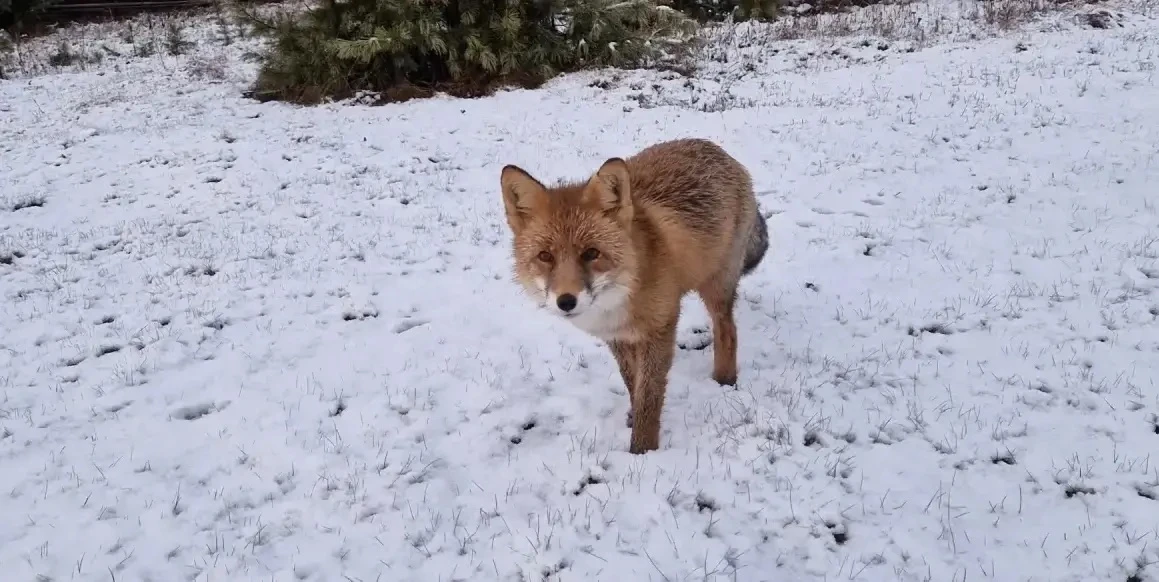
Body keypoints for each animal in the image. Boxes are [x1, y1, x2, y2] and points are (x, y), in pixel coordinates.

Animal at [499, 138, 769, 454]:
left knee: (727, 331)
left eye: (591, 253)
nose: (566, 302)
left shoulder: (660, 328)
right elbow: (632, 385)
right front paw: (633, 419)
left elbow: (649, 396)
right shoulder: (618, 337)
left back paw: (724, 381)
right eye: (545, 256)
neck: (621, 296)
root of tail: (716, 148)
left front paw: (643, 451)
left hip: (716, 286)